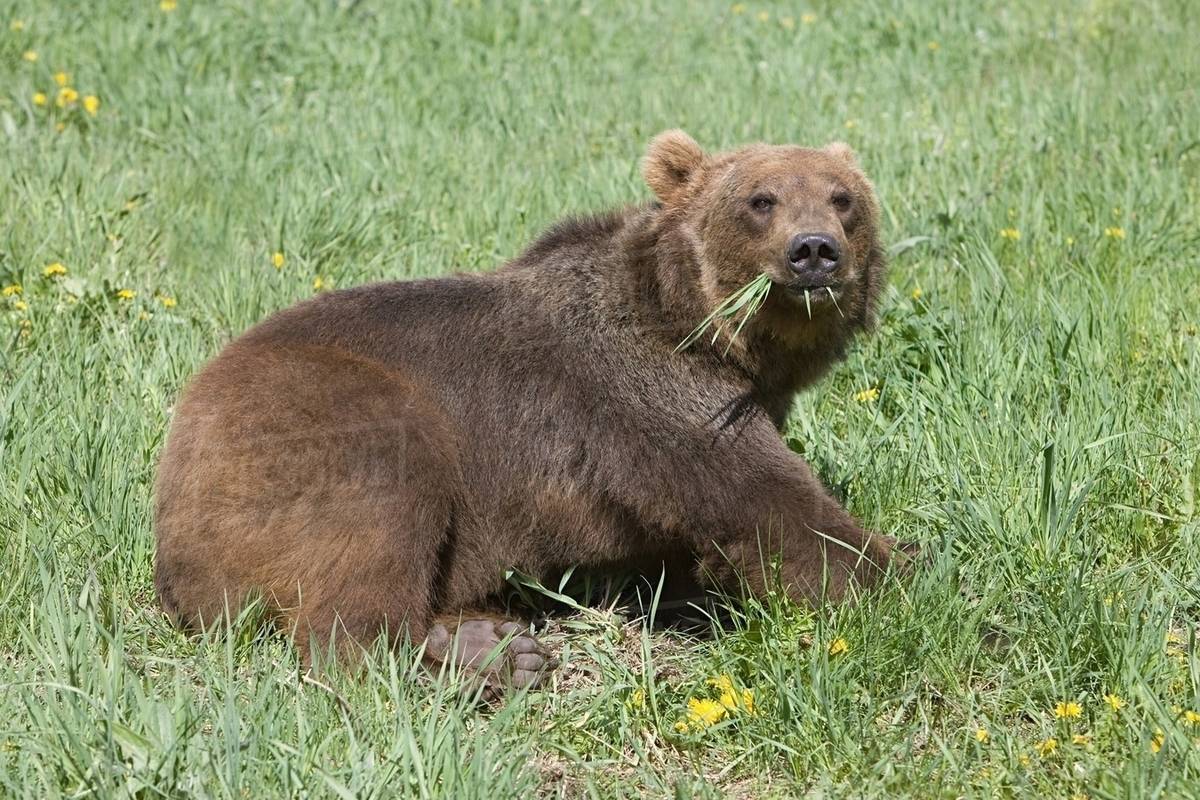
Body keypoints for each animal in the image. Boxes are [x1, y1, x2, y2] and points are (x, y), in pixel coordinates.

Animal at [153, 130, 903, 689]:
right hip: (314, 421)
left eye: (842, 198)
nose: (814, 251)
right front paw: (907, 572)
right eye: (761, 199)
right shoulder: (652, 395)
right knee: (373, 531)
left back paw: (485, 638)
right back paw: (482, 662)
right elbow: (769, 505)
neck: (710, 333)